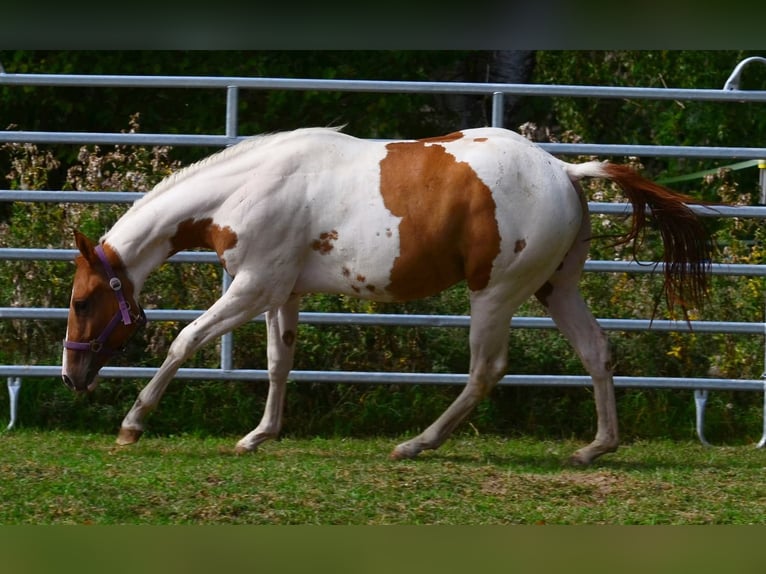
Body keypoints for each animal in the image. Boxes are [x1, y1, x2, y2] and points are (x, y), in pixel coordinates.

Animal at [61, 126, 712, 465]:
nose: (71, 374)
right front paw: (260, 434)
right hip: (557, 288)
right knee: (597, 352)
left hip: (497, 292)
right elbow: (278, 362)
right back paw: (594, 448)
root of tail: (565, 172)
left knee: (486, 369)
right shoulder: (280, 291)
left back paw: (417, 443)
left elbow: (185, 340)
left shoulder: (251, 287)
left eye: (81, 302)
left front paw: (133, 423)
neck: (248, 187)